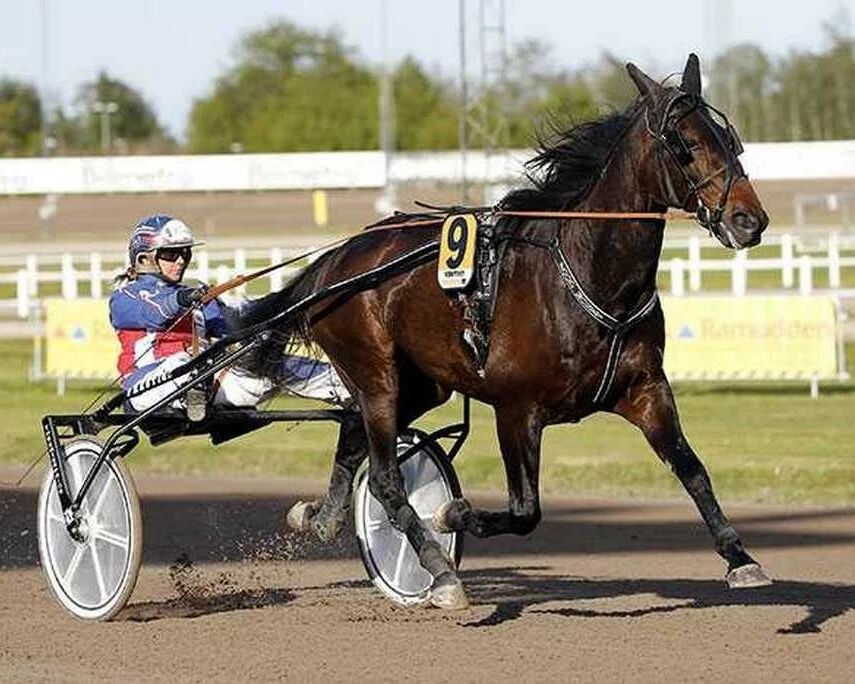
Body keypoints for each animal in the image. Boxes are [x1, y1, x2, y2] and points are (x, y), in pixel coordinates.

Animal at [245, 54, 771, 609]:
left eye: (730, 140)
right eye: (684, 143)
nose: (749, 220)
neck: (588, 275)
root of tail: (336, 260)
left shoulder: (646, 389)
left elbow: (692, 469)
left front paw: (740, 557)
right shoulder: (516, 409)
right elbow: (524, 512)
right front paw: (449, 513)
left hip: (421, 383)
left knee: (352, 437)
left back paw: (321, 518)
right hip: (376, 374)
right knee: (386, 478)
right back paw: (438, 571)